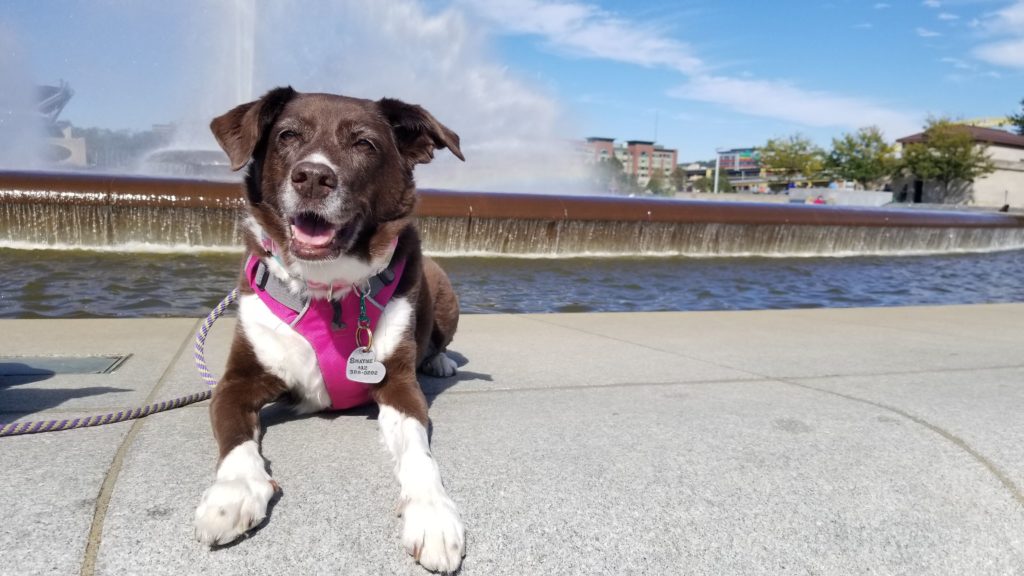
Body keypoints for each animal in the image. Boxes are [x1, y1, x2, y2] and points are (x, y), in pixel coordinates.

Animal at [190, 86, 466, 569]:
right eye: (287, 135)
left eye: (364, 143)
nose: (313, 177)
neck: (328, 290)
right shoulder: (237, 380)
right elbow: (235, 440)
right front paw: (232, 494)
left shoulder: (398, 385)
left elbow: (418, 453)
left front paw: (432, 512)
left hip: (442, 285)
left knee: (438, 340)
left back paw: (440, 361)